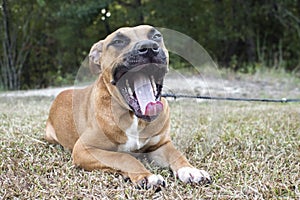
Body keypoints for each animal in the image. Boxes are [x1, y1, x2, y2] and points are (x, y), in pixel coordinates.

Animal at [46, 25, 211, 189]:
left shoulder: (160, 145)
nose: (149, 47)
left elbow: (176, 154)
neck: (134, 117)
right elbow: (124, 157)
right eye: (118, 41)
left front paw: (191, 170)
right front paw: (146, 176)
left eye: (156, 36)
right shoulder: (84, 149)